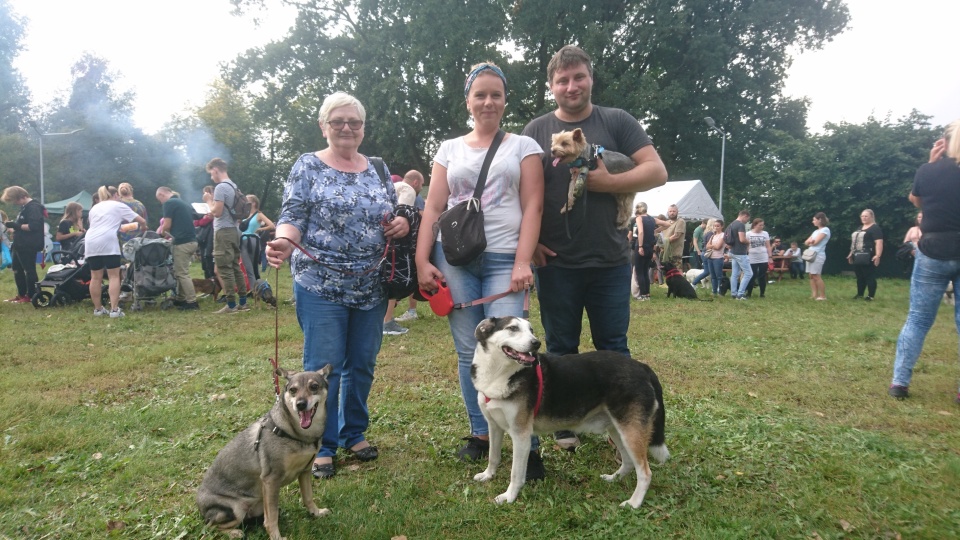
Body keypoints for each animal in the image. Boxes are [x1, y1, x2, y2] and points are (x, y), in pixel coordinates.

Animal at [197, 364, 332, 536]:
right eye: (293, 390)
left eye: (314, 386)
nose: (300, 404)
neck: (296, 433)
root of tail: (199, 507)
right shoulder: (271, 479)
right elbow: (271, 517)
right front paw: (276, 536)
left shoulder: (305, 471)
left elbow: (308, 497)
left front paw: (316, 512)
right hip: (236, 509)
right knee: (209, 527)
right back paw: (234, 533)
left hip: (259, 503)